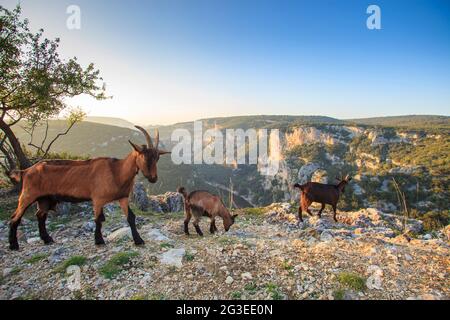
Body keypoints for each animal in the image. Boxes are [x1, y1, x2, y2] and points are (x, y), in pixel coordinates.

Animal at [7, 125, 170, 250]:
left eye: (157, 158)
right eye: (144, 156)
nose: (153, 178)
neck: (117, 172)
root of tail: (25, 171)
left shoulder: (123, 197)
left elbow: (130, 217)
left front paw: (138, 240)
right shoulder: (97, 199)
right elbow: (98, 219)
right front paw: (99, 241)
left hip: (45, 198)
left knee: (40, 215)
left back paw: (47, 239)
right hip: (28, 194)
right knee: (15, 217)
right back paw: (14, 245)